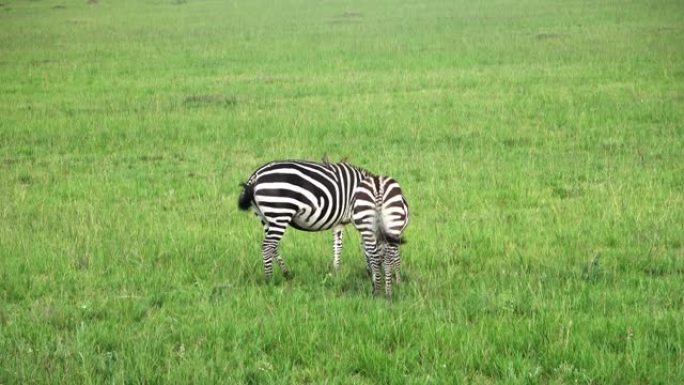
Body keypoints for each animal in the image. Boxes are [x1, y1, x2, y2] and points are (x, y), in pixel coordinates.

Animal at [236, 158, 374, 280]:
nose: (368, 274)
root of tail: (255, 176)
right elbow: (365, 245)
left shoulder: (339, 222)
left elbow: (338, 245)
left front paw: (336, 272)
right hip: (280, 213)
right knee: (267, 246)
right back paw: (269, 280)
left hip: (265, 217)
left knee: (273, 247)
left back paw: (286, 273)